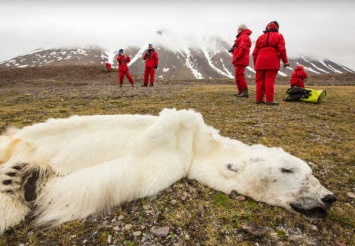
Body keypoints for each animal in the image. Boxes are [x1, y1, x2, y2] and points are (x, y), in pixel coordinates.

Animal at [0, 108, 336, 234]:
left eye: (310, 172)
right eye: (288, 169)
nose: (328, 197)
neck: (199, 145)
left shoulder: (171, 162)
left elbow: (111, 178)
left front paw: (29, 182)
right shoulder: (177, 141)